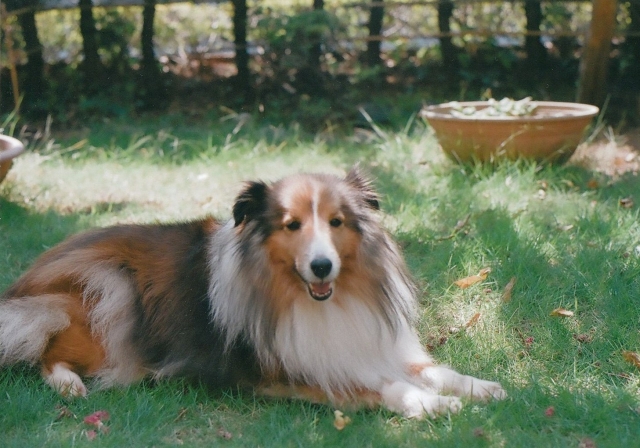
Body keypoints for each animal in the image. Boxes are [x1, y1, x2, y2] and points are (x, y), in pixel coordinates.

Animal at [0, 167, 508, 416]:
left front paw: (480, 388)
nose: (321, 266)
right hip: (110, 291)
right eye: (292, 225)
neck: (320, 302)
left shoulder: (375, 346)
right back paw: (68, 383)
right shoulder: (292, 372)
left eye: (336, 222)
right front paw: (434, 405)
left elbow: (433, 370)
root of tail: (25, 281)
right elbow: (390, 389)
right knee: (44, 347)